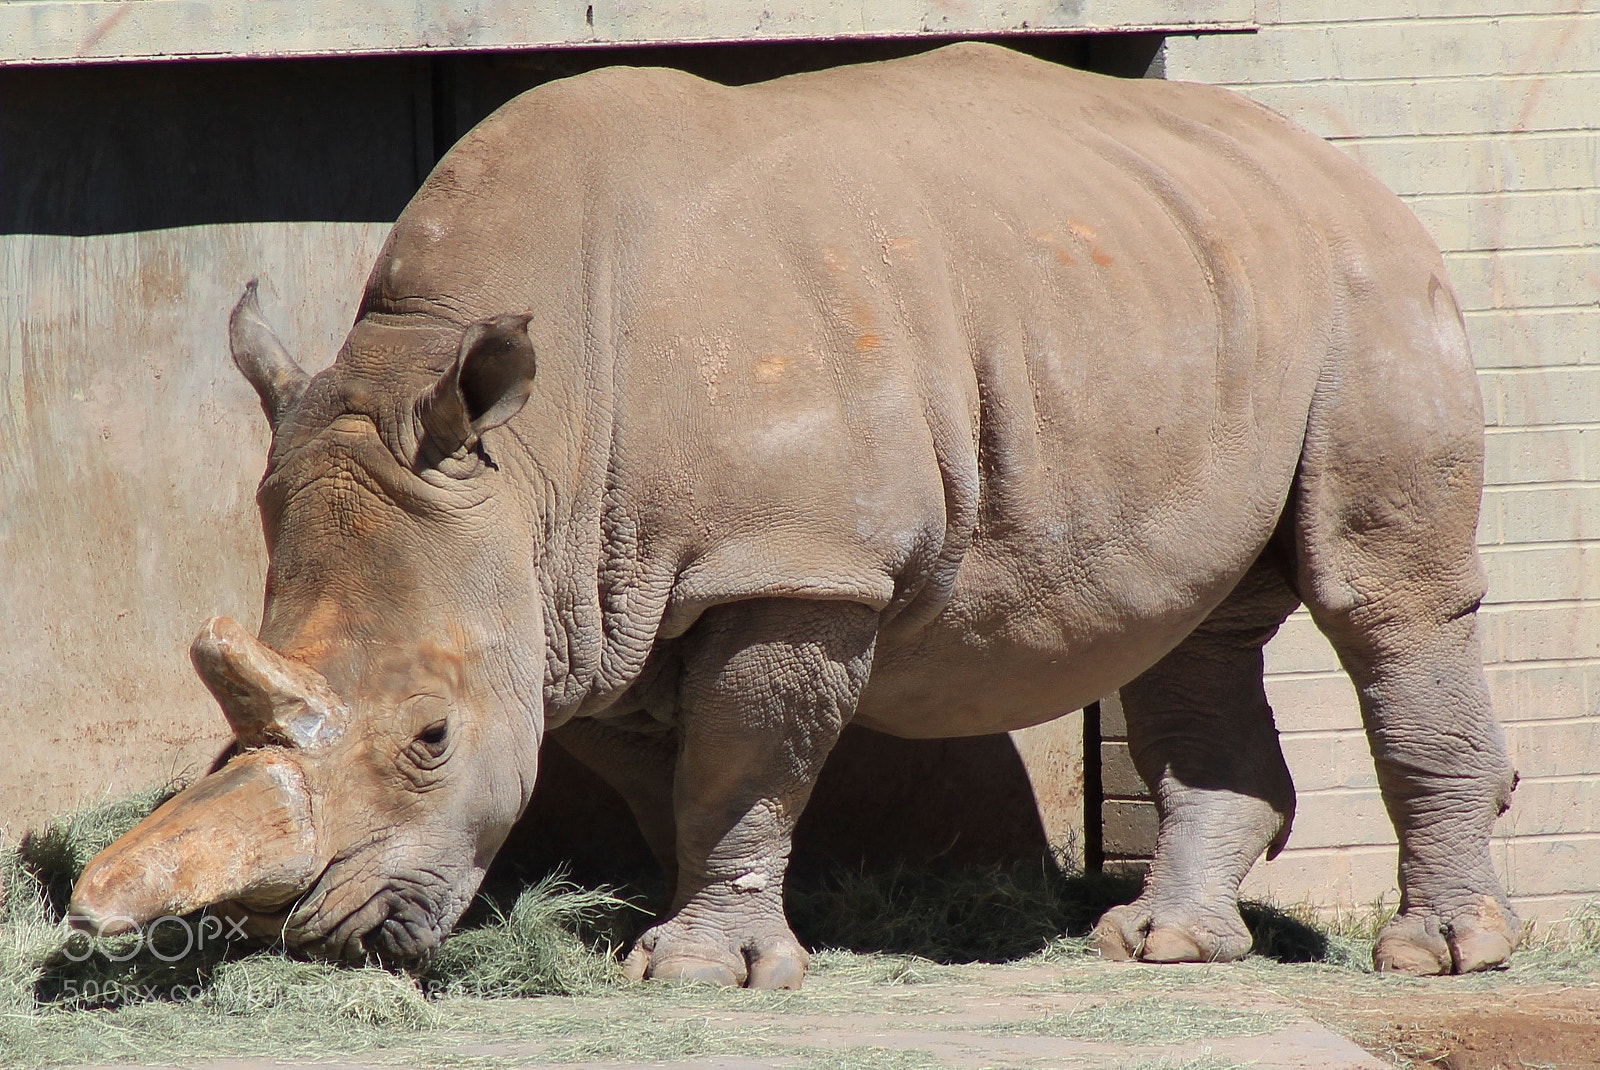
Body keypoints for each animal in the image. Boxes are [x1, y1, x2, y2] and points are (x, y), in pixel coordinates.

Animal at [70, 42, 1520, 986]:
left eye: (432, 738)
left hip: (1367, 286)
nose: (329, 942)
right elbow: (671, 774)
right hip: (1185, 285)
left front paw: (700, 970)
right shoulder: (590, 593)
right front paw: (681, 926)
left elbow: (743, 759)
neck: (530, 455)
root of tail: (1334, 165)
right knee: (1192, 623)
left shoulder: (795, 564)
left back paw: (1436, 957)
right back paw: (1158, 947)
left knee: (1382, 598)